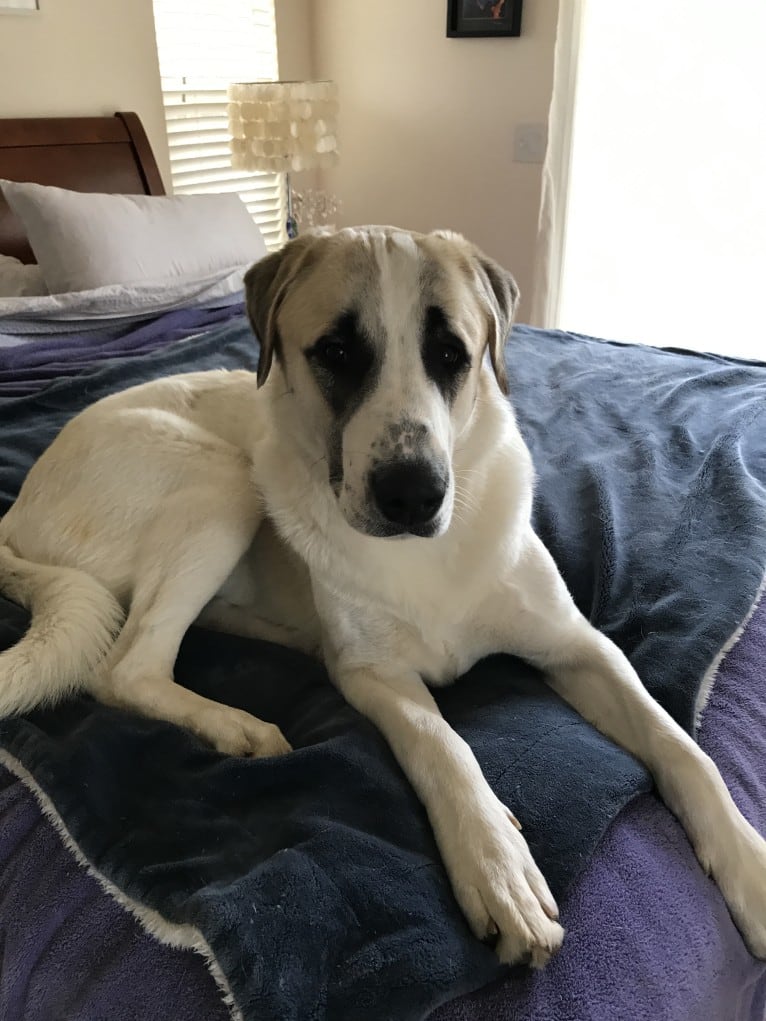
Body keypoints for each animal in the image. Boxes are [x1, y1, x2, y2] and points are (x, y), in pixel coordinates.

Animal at [1, 227, 766, 967]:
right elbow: (443, 743)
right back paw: (236, 726)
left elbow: (680, 747)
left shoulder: (580, 645)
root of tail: (15, 513)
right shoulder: (373, 673)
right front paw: (496, 864)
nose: (412, 494)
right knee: (127, 666)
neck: (430, 552)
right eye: (337, 352)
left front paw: (748, 867)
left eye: (452, 354)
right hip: (220, 480)